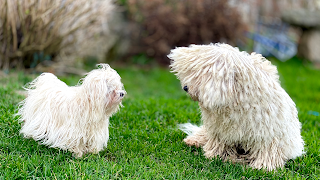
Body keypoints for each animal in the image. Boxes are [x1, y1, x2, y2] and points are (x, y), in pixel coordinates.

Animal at [168, 43, 304, 170]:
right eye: (194, 71)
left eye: (202, 74)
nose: (185, 87)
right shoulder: (221, 131)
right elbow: (219, 144)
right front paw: (216, 155)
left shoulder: (268, 136)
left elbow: (267, 152)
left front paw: (262, 167)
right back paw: (193, 141)